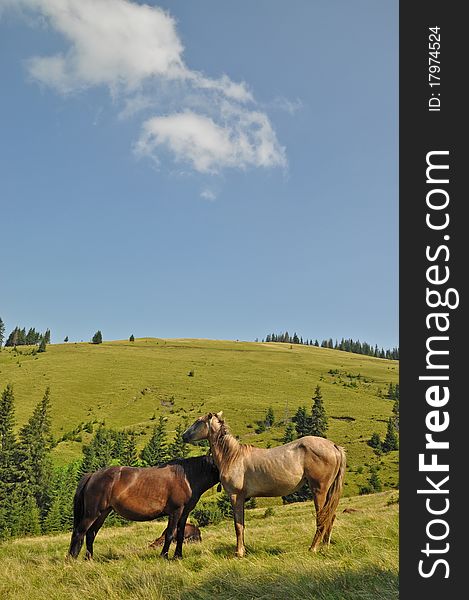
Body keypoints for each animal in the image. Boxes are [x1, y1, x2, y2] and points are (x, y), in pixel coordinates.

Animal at [68, 458, 218, 560]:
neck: (186, 477)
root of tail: (92, 475)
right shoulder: (176, 511)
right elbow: (170, 534)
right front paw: (164, 556)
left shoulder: (184, 513)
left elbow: (180, 534)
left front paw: (178, 556)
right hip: (92, 513)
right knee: (78, 532)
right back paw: (71, 559)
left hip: (102, 513)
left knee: (90, 534)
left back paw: (89, 559)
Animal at [182, 412, 344, 556]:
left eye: (198, 421)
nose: (184, 436)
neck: (232, 457)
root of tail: (334, 446)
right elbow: (242, 524)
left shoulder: (235, 496)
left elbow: (238, 525)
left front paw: (239, 552)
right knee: (330, 516)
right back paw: (324, 547)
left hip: (319, 490)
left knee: (322, 518)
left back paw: (313, 548)